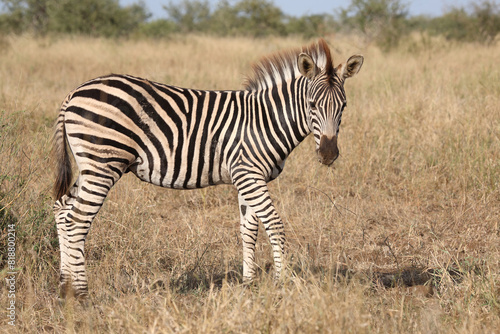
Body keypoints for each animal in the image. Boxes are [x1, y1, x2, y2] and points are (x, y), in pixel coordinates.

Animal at [52, 39, 364, 300]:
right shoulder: (250, 175)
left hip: (89, 165)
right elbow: (274, 224)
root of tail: (73, 93)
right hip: (103, 164)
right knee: (78, 221)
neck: (266, 120)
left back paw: (65, 285)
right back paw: (82, 294)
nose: (328, 154)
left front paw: (249, 283)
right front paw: (283, 283)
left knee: (62, 210)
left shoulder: (247, 176)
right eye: (312, 105)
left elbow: (248, 229)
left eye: (344, 106)